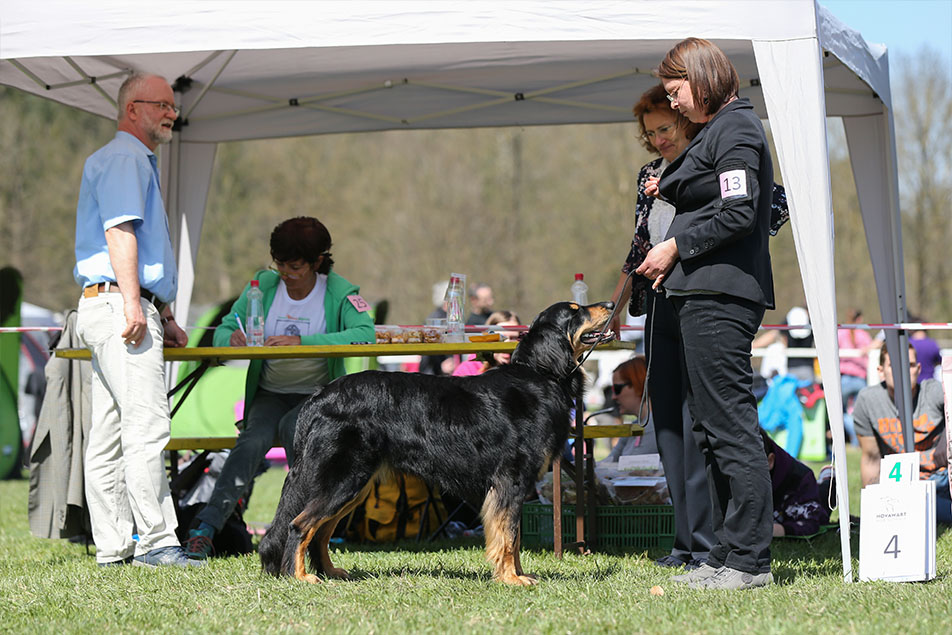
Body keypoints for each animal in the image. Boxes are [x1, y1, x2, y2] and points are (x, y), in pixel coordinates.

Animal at [259, 301, 614, 585]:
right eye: (575, 310)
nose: (611, 304)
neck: (540, 375)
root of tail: (319, 396)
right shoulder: (510, 481)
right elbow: (508, 536)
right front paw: (512, 579)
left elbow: (511, 537)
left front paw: (515, 574)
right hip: (343, 478)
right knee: (299, 525)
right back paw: (300, 577)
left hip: (353, 485)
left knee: (320, 531)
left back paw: (330, 572)